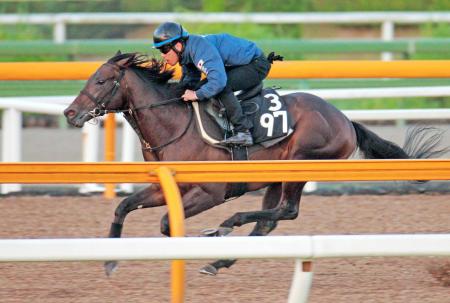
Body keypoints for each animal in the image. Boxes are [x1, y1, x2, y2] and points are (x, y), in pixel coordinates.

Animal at [63, 53, 446, 276]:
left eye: (100, 80)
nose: (69, 112)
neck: (174, 125)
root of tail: (346, 120)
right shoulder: (166, 185)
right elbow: (126, 206)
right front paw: (110, 259)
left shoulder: (211, 192)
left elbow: (166, 224)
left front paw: (207, 237)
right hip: (275, 175)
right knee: (270, 221)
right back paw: (220, 259)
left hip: (299, 162)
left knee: (287, 211)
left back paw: (226, 227)